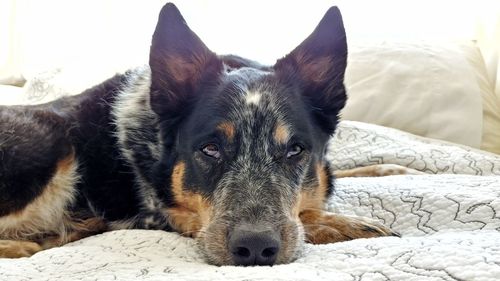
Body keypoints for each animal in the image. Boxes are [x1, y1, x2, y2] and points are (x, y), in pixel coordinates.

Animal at [0, 2, 418, 264]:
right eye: (210, 149)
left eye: (296, 150)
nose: (255, 249)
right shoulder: (159, 212)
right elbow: (308, 215)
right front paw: (343, 223)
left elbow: (336, 177)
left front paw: (388, 170)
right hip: (53, 137)